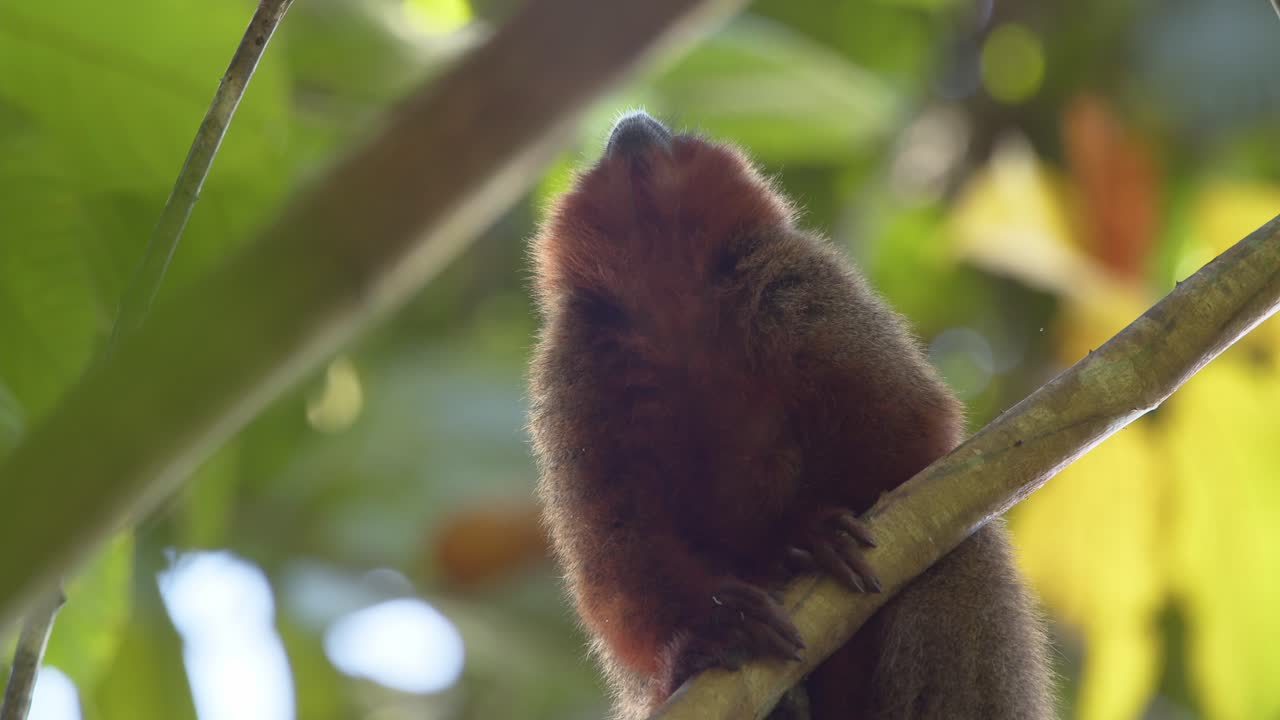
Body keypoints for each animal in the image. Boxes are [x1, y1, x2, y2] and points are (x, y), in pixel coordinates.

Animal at [527, 111, 1053, 720]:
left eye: (670, 130)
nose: (633, 119)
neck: (671, 291)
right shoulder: (573, 369)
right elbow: (614, 555)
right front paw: (715, 626)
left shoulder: (800, 283)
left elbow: (912, 438)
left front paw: (801, 532)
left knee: (957, 550)